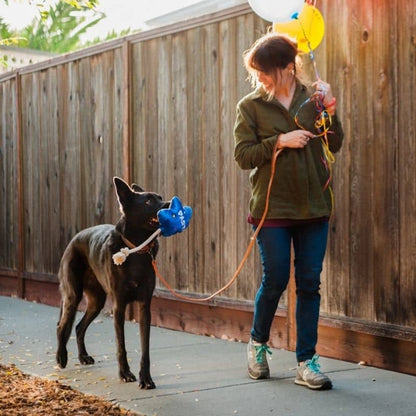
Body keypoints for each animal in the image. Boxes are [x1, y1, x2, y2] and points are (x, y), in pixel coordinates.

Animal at [55, 177, 169, 388]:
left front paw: (145, 378)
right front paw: (125, 374)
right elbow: (121, 345)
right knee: (62, 326)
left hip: (96, 302)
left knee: (79, 327)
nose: (170, 204)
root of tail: (73, 240)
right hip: (72, 296)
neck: (136, 249)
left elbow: (145, 349)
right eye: (148, 201)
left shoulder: (144, 308)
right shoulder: (119, 307)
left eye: (160, 197)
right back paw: (61, 358)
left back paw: (83, 357)